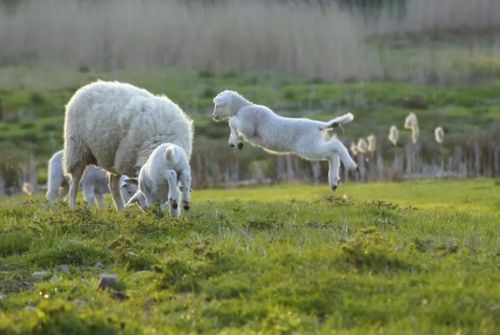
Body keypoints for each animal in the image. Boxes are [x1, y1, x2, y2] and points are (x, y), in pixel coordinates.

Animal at [63, 80, 192, 215]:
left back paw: (122, 211)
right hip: (77, 149)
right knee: (75, 180)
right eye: (146, 189)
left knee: (113, 185)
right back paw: (73, 207)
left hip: (113, 157)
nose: (151, 212)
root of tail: (88, 86)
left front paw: (175, 215)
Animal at [213, 91, 358, 192]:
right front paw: (235, 142)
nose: (213, 117)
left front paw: (236, 140)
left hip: (309, 147)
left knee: (336, 146)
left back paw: (351, 165)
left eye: (217, 105)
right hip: (314, 146)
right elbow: (233, 127)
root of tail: (318, 125)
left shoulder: (248, 126)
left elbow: (232, 121)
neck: (242, 108)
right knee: (332, 156)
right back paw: (334, 182)